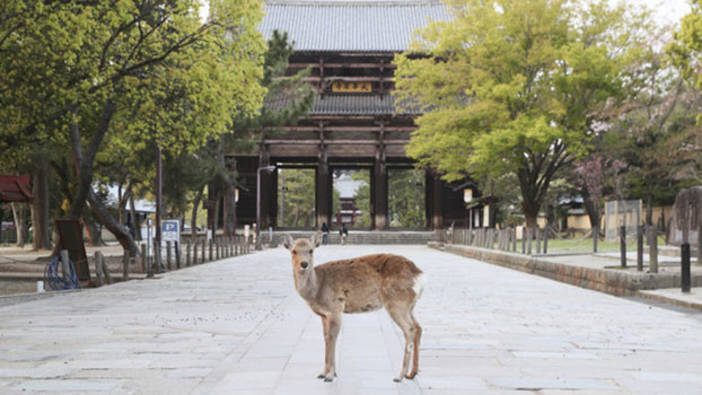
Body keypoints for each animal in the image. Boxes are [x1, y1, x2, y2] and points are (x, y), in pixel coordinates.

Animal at [282, 234, 424, 382]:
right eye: (294, 251)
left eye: (311, 250)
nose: (304, 264)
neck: (317, 289)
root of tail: (419, 275)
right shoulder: (323, 315)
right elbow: (325, 337)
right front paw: (323, 373)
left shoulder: (335, 308)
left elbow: (332, 338)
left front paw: (330, 375)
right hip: (410, 305)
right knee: (418, 327)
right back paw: (412, 373)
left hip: (396, 302)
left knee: (409, 329)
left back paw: (399, 376)